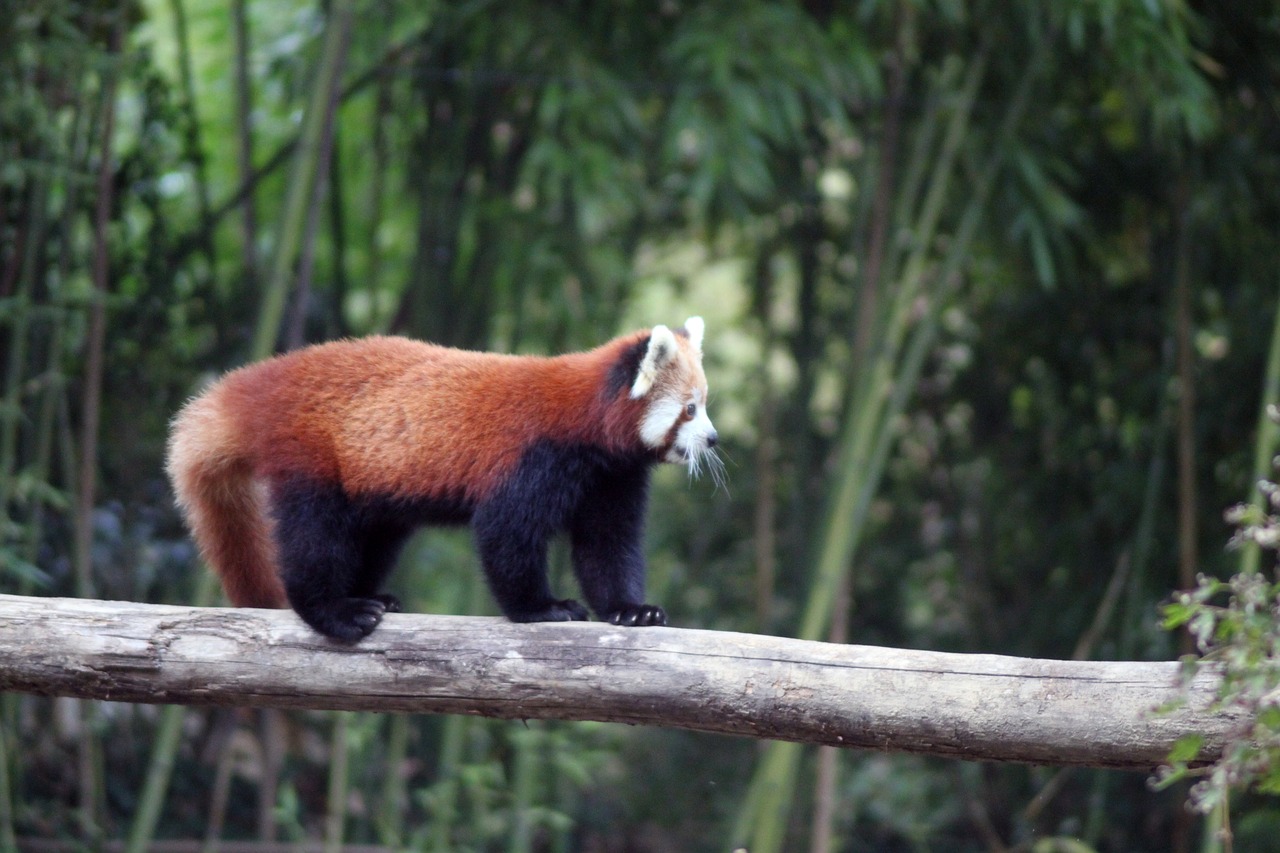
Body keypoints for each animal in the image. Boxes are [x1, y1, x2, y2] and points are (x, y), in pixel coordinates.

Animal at [165, 317, 716, 637]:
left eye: (703, 406)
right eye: (690, 409)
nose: (713, 440)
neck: (588, 427)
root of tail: (264, 383)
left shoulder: (612, 477)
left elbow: (607, 545)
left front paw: (631, 609)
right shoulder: (533, 458)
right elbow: (506, 535)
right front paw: (542, 608)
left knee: (376, 535)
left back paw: (372, 595)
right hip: (312, 456)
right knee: (313, 538)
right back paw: (336, 610)